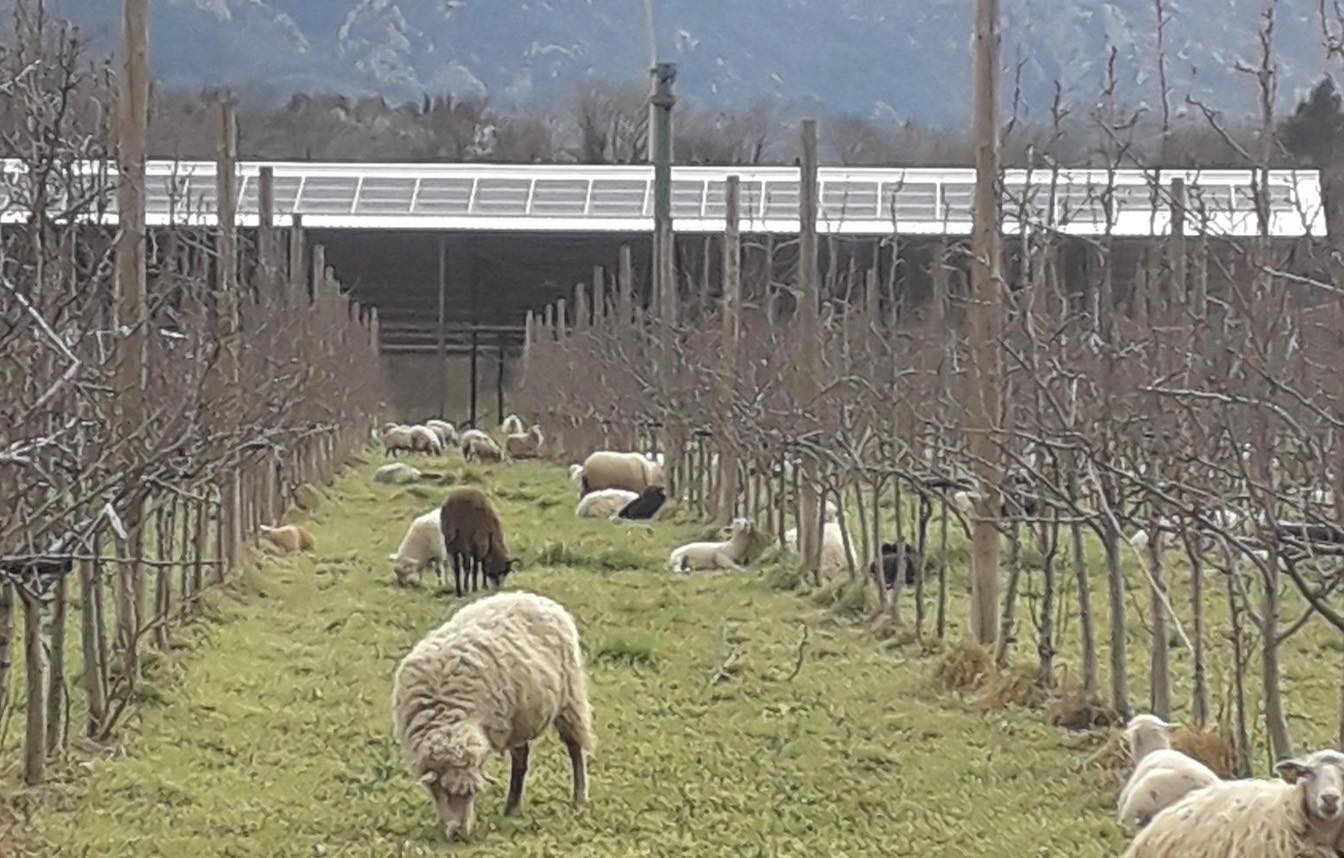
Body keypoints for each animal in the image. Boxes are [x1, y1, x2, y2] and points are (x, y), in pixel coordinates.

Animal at [392, 594, 596, 844]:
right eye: (444, 791)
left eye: (472, 794)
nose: (460, 835)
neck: (447, 715)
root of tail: (538, 598)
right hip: (519, 717)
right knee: (522, 759)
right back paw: (512, 807)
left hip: (568, 699)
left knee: (574, 748)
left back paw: (578, 797)